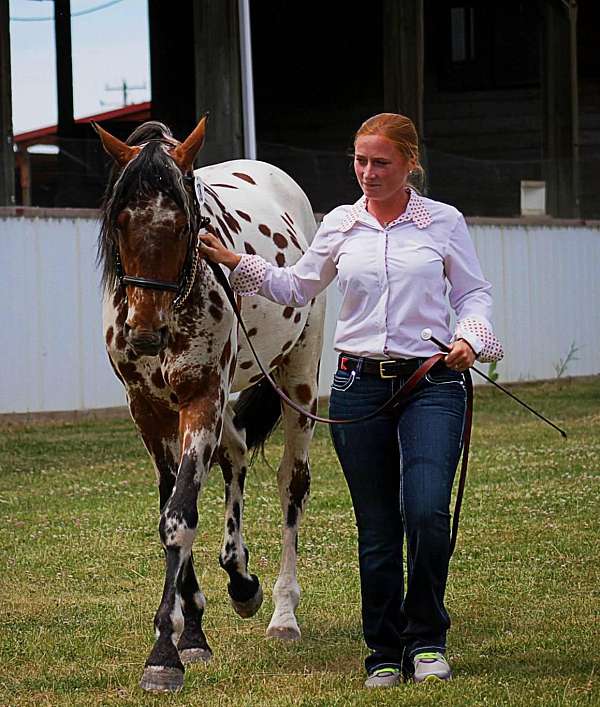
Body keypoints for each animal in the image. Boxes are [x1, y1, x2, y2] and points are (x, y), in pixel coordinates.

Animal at [94, 116, 325, 693]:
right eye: (121, 220)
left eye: (184, 224)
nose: (146, 332)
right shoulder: (149, 410)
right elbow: (169, 507)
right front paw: (191, 631)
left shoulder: (201, 397)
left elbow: (180, 516)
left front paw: (164, 653)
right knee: (236, 453)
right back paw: (240, 577)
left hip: (298, 379)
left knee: (292, 483)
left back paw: (282, 612)